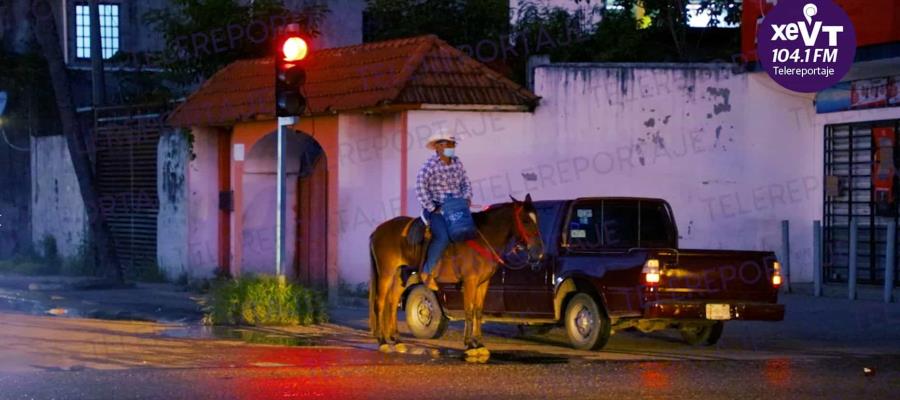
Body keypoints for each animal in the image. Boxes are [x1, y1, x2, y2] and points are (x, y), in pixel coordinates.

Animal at [366, 195, 540, 358]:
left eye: (536, 219)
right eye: (525, 220)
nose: (538, 251)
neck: (482, 239)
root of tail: (378, 231)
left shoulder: (483, 283)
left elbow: (478, 311)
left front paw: (480, 344)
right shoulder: (470, 282)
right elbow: (469, 311)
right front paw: (469, 345)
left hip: (401, 274)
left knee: (392, 302)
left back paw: (397, 340)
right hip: (386, 273)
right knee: (380, 302)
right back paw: (383, 342)